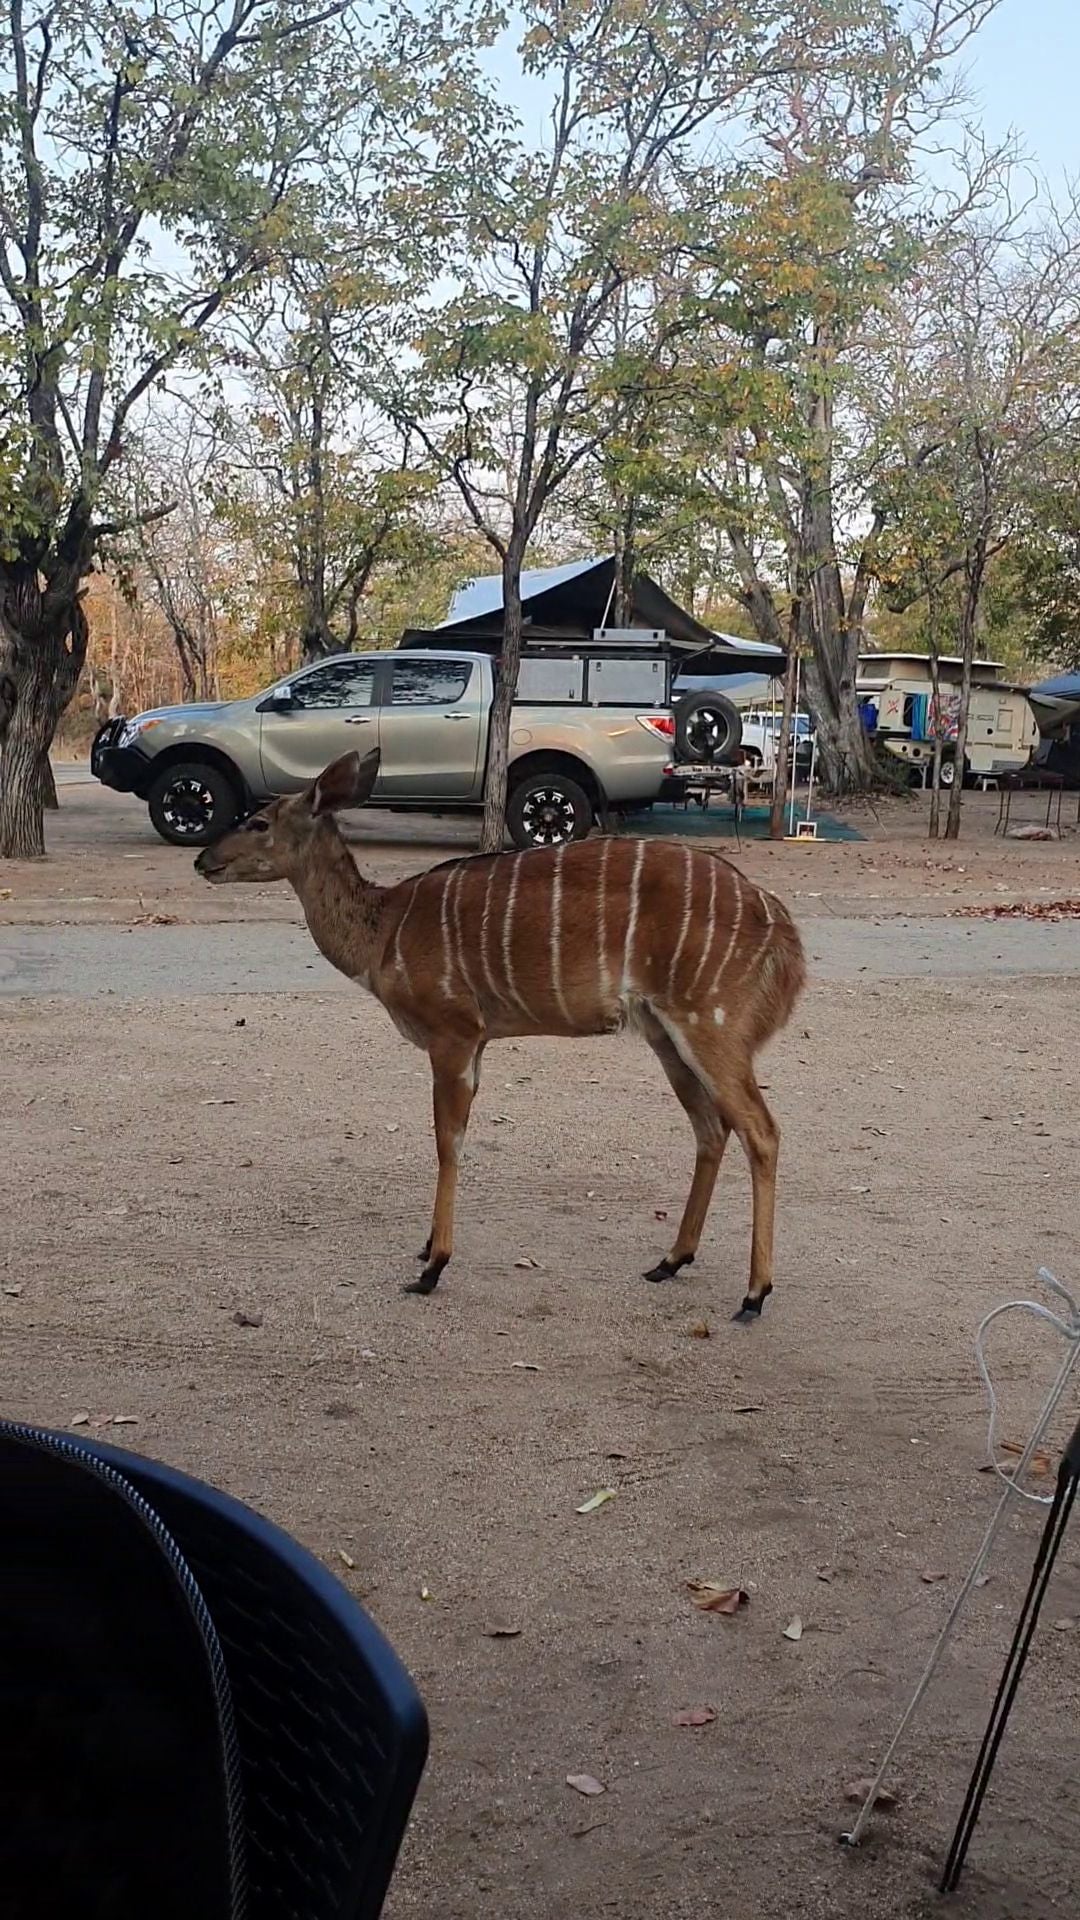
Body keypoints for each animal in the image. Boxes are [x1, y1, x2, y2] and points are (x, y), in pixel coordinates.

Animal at [193, 748, 803, 1320]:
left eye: (259, 822)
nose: (203, 860)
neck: (383, 930)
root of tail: (780, 926)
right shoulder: (480, 1041)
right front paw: (426, 1248)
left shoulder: (453, 1033)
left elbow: (448, 1140)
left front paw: (433, 1266)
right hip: (666, 1035)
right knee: (711, 1128)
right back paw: (671, 1260)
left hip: (711, 1025)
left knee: (761, 1130)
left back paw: (754, 1294)